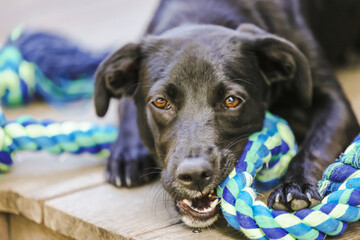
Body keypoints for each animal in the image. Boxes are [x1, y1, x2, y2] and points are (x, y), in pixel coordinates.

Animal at [94, 0, 358, 229]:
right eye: (160, 102)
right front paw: (127, 152)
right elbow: (125, 105)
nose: (195, 175)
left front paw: (295, 185)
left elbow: (317, 144)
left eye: (231, 101)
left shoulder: (334, 102)